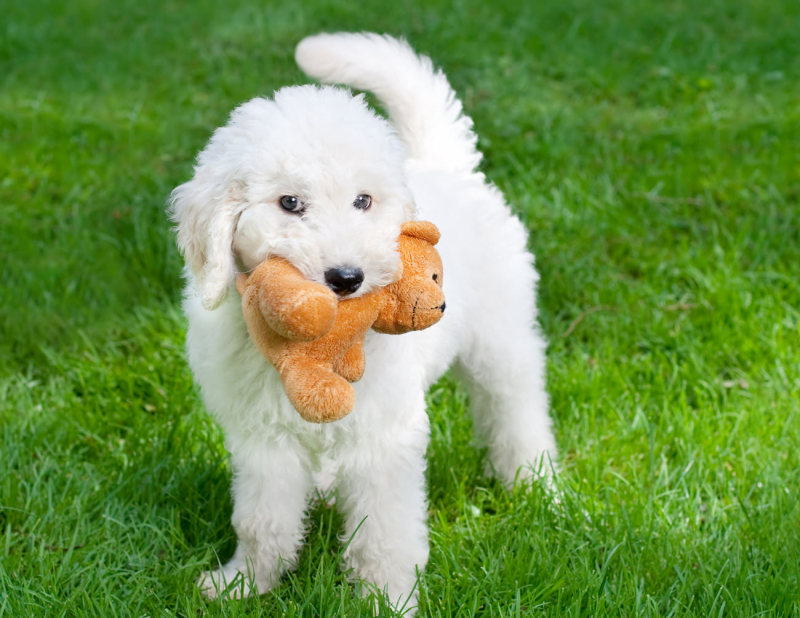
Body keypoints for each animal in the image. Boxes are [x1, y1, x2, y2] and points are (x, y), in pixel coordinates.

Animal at [170, 32, 556, 612]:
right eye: (290, 202)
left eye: (363, 201)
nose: (347, 278)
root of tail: (446, 165)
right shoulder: (264, 440)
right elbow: (262, 521)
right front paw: (244, 583)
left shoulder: (385, 438)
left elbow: (384, 533)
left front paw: (389, 601)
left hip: (500, 339)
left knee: (517, 408)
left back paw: (535, 481)